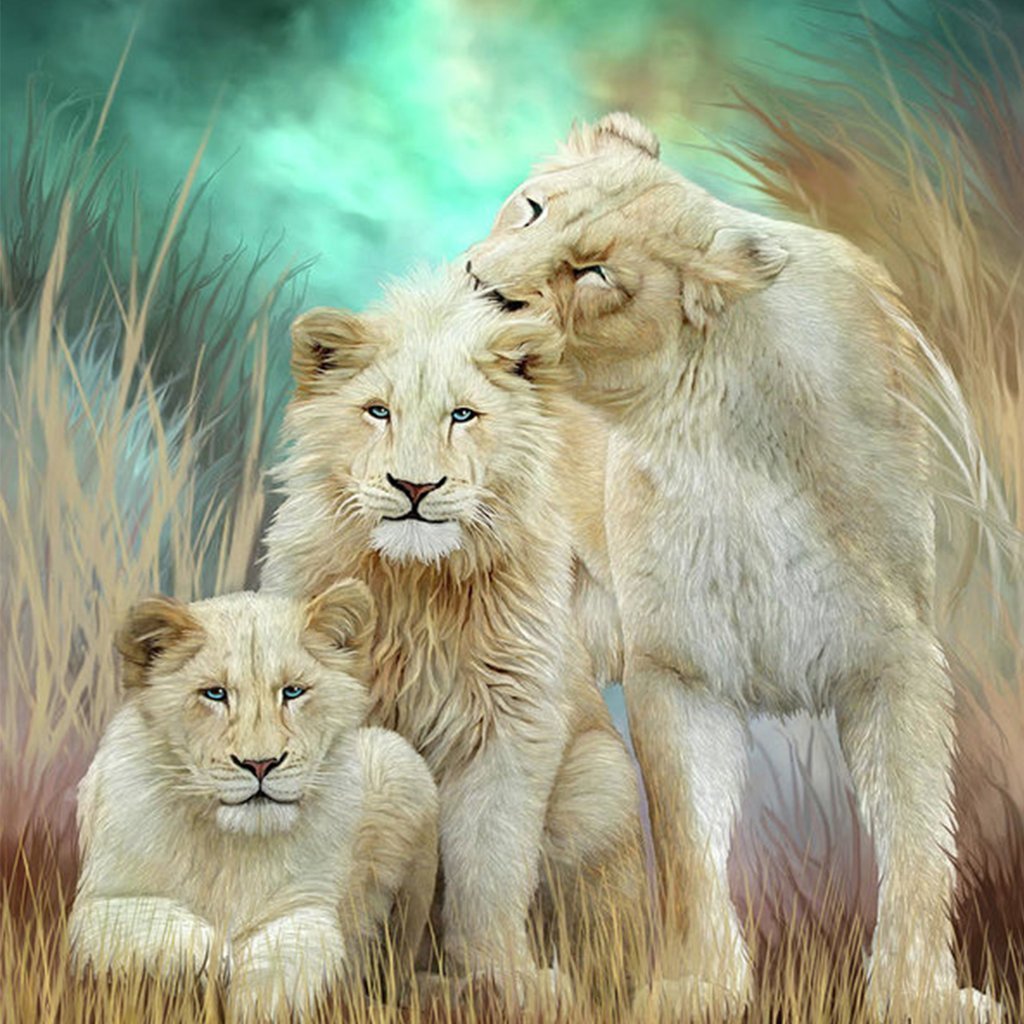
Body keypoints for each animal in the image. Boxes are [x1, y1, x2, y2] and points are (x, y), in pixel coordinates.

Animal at [68, 584, 439, 1020]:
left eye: (293, 691)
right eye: (215, 693)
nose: (260, 763)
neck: (233, 847)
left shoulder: (307, 907)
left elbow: (284, 960)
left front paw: (259, 1003)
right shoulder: (99, 904)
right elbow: (160, 926)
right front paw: (215, 958)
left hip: (399, 770)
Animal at [260, 266, 647, 1006]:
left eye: (462, 416)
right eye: (377, 411)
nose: (414, 486)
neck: (418, 588)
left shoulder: (511, 724)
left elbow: (490, 865)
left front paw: (504, 979)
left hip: (601, 781)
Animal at [465, 112, 1001, 1022]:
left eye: (596, 273)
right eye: (531, 209)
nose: (477, 287)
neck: (719, 440)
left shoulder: (897, 657)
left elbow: (918, 837)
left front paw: (919, 994)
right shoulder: (679, 666)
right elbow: (689, 841)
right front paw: (697, 987)